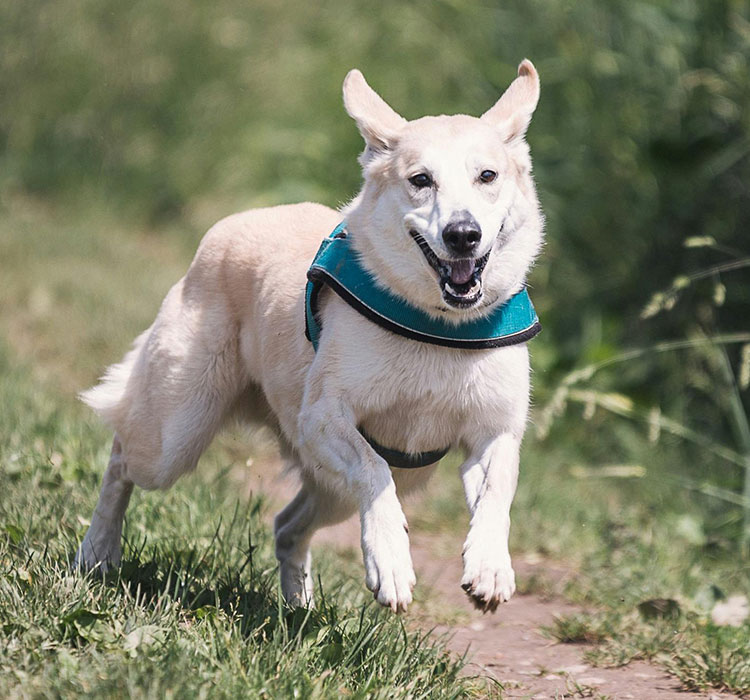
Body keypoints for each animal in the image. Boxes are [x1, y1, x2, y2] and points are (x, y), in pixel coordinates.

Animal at [78, 60, 548, 612]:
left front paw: (490, 568)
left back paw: (298, 609)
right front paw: (391, 563)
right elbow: (373, 470)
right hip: (175, 435)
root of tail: (229, 225)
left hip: (334, 489)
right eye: (421, 180)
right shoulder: (324, 418)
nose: (463, 234)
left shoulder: (494, 432)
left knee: (287, 526)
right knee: (121, 459)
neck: (438, 327)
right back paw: (97, 553)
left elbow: (497, 494)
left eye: (487, 176)